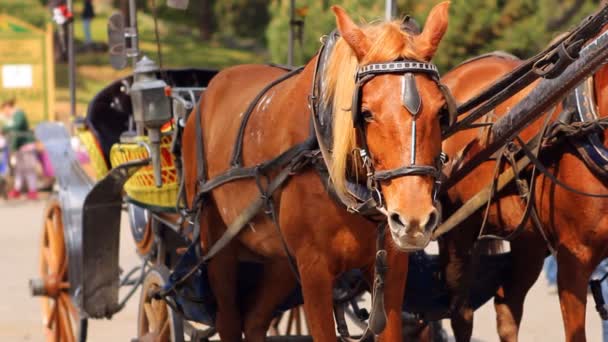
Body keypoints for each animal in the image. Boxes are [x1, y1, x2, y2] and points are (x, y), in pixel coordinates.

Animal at [180, 3, 452, 342]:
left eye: (442, 111)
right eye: (365, 113)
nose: (413, 218)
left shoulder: (391, 266)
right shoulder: (315, 271)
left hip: (279, 259)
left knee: (255, 319)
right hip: (218, 245)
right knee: (228, 319)